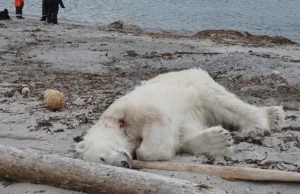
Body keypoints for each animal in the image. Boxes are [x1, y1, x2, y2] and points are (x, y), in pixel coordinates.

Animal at [76, 68, 284, 168]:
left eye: (102, 157)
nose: (124, 164)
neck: (116, 123)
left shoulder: (132, 109)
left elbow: (156, 122)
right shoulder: (184, 119)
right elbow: (184, 134)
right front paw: (218, 140)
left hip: (197, 84)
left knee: (222, 102)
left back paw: (265, 120)